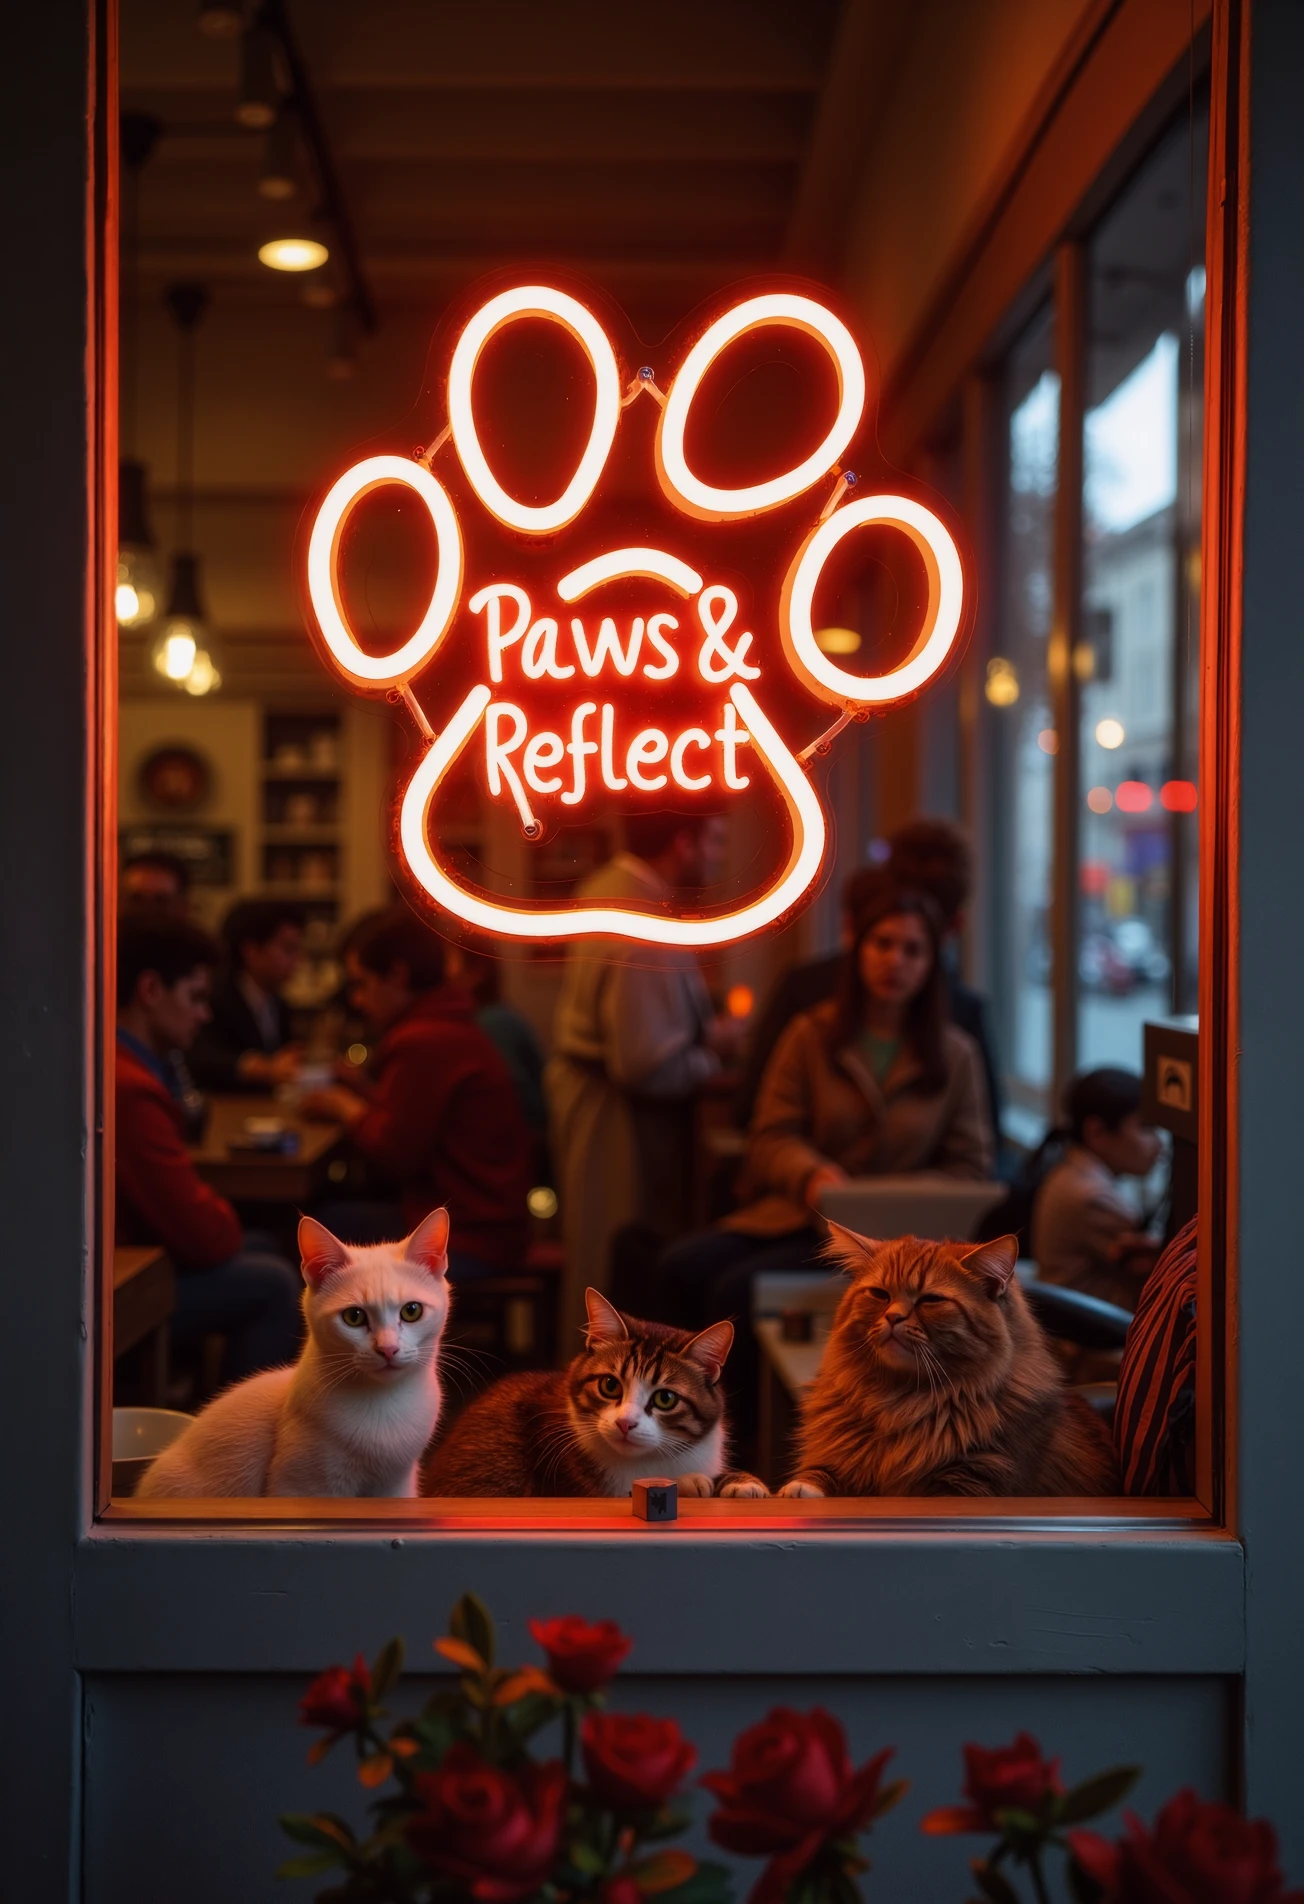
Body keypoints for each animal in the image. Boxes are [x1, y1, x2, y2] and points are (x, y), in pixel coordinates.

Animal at [138, 1210, 453, 1492]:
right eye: (353, 1317)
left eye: (411, 1311)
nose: (388, 1349)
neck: (385, 1404)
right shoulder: (299, 1485)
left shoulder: (397, 1487)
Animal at [776, 1226, 1111, 1492]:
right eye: (880, 1295)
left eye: (931, 1300)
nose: (893, 1317)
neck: (900, 1403)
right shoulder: (837, 1458)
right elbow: (818, 1474)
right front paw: (794, 1490)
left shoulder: (973, 1479)